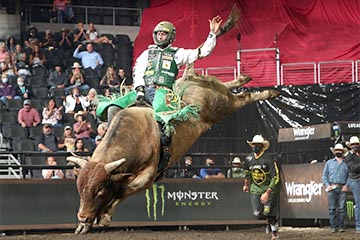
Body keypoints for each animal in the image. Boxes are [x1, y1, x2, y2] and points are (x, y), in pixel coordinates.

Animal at [67, 6, 280, 234]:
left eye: (99, 190)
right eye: (79, 188)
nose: (83, 216)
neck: (132, 135)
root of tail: (190, 80)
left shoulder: (149, 175)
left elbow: (124, 188)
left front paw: (105, 214)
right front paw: (85, 224)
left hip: (223, 105)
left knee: (245, 97)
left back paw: (270, 92)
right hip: (215, 90)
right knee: (226, 83)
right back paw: (243, 79)